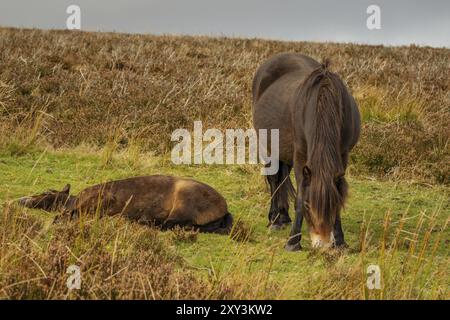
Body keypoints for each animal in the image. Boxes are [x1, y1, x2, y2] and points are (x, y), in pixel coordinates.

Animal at [18, 175, 232, 235]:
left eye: (46, 193)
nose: (21, 199)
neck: (75, 200)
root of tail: (225, 209)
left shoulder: (103, 201)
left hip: (184, 201)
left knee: (169, 224)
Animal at [253, 52, 362, 250]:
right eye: (308, 205)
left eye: (333, 205)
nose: (323, 244)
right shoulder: (301, 157)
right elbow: (299, 194)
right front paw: (293, 242)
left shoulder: (343, 155)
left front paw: (340, 241)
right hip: (267, 146)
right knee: (274, 180)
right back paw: (275, 220)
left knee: (282, 178)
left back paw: (283, 217)